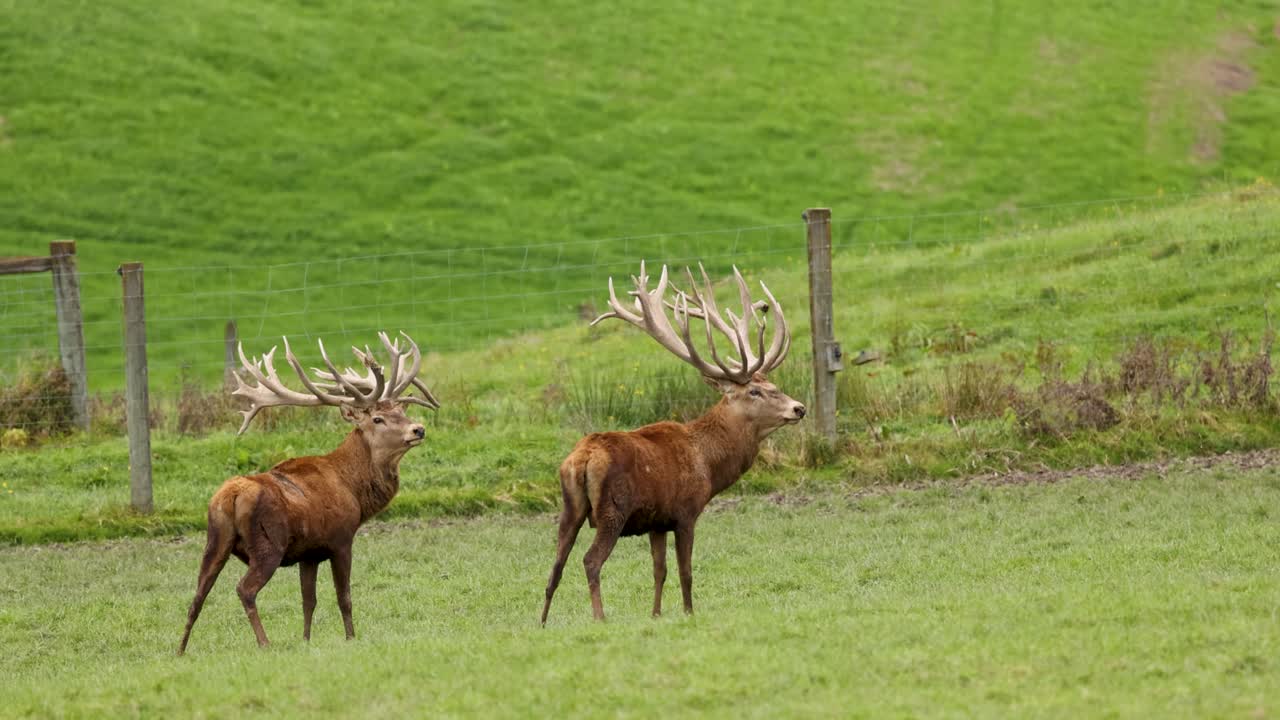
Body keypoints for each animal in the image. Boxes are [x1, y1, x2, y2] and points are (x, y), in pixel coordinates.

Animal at [177, 331, 440, 655]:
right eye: (377, 419)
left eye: (402, 410)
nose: (418, 429)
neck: (353, 489)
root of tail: (230, 497)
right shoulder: (340, 539)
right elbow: (344, 597)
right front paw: (351, 637)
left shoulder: (309, 553)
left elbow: (308, 600)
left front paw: (305, 639)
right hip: (268, 544)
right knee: (244, 589)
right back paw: (264, 642)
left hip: (215, 540)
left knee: (197, 595)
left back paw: (180, 649)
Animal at [540, 262, 805, 624]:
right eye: (755, 391)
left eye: (773, 384)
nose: (799, 408)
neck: (708, 463)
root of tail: (583, 457)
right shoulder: (685, 511)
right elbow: (685, 571)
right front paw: (689, 613)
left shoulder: (657, 521)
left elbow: (659, 570)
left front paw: (655, 614)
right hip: (612, 510)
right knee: (590, 560)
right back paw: (599, 617)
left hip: (570, 506)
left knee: (555, 566)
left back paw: (542, 622)